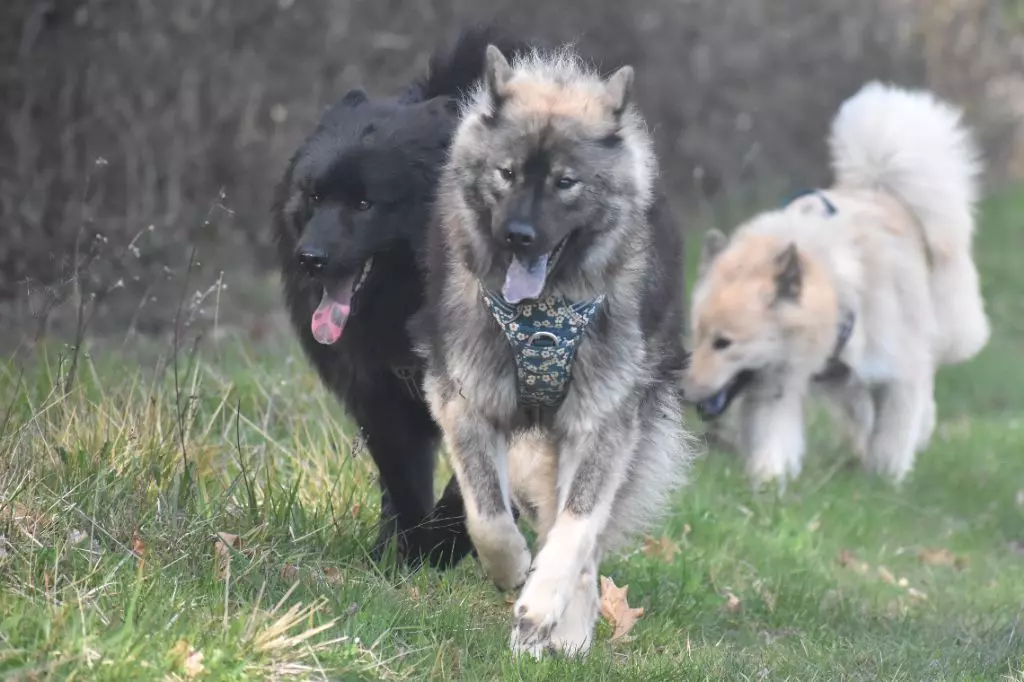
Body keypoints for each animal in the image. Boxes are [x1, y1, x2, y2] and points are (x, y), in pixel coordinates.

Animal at [272, 27, 528, 569]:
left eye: (365, 203)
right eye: (313, 195)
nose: (310, 258)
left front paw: (446, 545)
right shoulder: (380, 394)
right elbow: (403, 479)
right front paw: (405, 554)